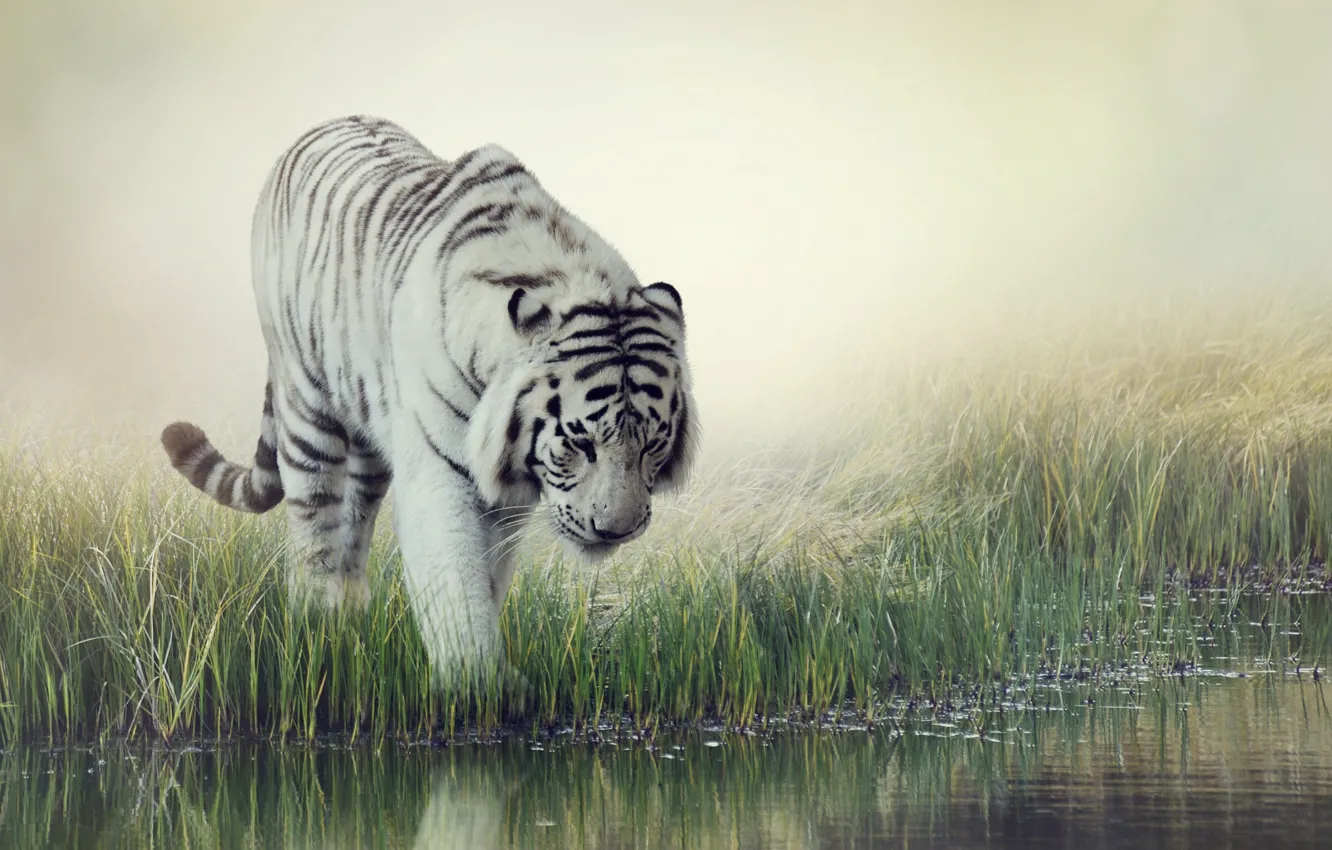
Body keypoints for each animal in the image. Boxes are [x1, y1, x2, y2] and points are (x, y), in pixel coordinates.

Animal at [159, 115, 697, 683]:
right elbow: (455, 582)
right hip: (306, 407)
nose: (616, 531)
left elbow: (487, 577)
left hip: (370, 436)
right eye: (580, 443)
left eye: (652, 445)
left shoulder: (504, 497)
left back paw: (353, 615)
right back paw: (318, 623)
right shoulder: (439, 475)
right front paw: (477, 683)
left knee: (354, 523)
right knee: (314, 525)